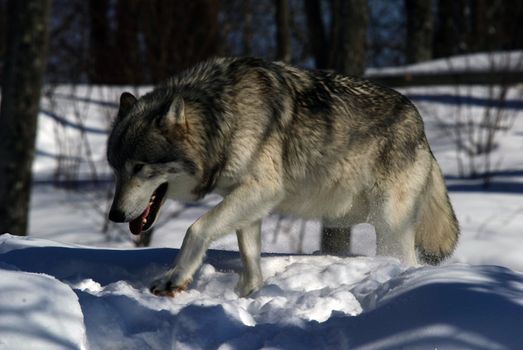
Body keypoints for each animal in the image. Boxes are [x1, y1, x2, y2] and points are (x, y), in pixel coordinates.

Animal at [105, 56, 458, 296]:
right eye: (115, 167)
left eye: (139, 167)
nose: (115, 215)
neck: (222, 118)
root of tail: (420, 126)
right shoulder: (247, 199)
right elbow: (249, 257)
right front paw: (248, 295)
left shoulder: (263, 190)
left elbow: (196, 229)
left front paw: (174, 277)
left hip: (389, 223)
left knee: (406, 259)